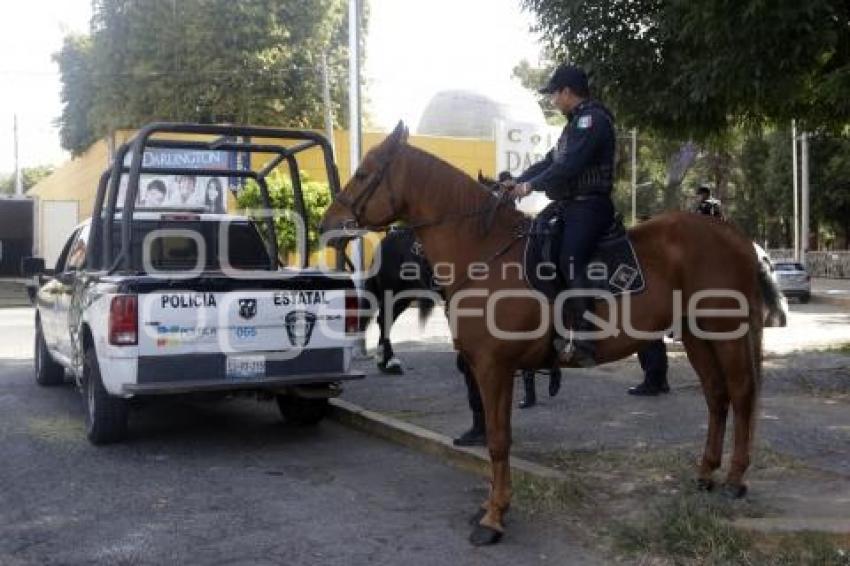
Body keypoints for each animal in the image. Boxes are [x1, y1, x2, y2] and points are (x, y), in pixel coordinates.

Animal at [320, 123, 780, 544]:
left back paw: (735, 480)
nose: (328, 223)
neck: (484, 253)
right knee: (717, 397)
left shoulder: (493, 368)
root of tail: (736, 236)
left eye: (363, 172)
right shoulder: (492, 368)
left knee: (740, 394)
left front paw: (493, 518)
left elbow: (498, 441)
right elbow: (498, 437)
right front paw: (492, 507)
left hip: (725, 333)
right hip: (697, 337)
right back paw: (706, 473)